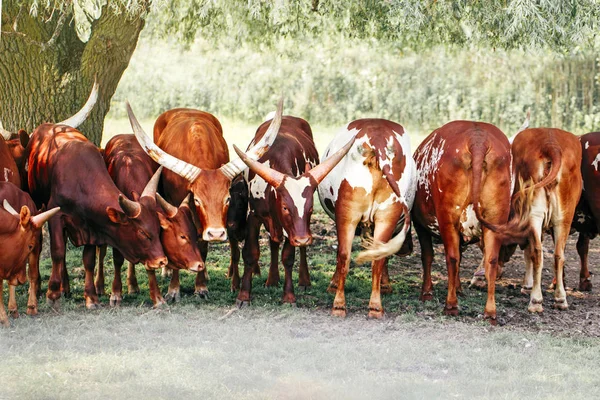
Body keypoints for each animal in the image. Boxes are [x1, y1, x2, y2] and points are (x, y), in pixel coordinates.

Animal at [94, 134, 204, 306]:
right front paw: (116, 293)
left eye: (195, 235)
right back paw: (99, 285)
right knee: (101, 251)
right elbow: (117, 259)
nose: (200, 265)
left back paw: (133, 285)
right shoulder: (117, 230)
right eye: (182, 236)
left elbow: (149, 264)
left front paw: (157, 297)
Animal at [126, 101, 282, 302]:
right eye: (198, 200)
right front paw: (173, 289)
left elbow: (202, 246)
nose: (216, 233)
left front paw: (200, 286)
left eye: (227, 199)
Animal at [234, 115, 356, 306]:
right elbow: (251, 253)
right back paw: (272, 279)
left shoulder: (292, 228)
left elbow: (288, 257)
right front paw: (243, 295)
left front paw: (289, 296)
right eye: (285, 207)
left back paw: (304, 280)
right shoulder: (253, 215)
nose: (303, 238)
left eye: (311, 208)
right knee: (273, 242)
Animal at [318, 119, 418, 318]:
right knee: (375, 257)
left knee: (344, 255)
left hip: (348, 214)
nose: (407, 249)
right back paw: (375, 306)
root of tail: (378, 142)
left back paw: (340, 305)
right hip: (385, 215)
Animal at [410, 119, 532, 322]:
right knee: (490, 260)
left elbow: (428, 256)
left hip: (447, 219)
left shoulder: (420, 224)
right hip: (494, 219)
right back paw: (490, 312)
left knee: (451, 257)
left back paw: (451, 305)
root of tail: (477, 138)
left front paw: (426, 292)